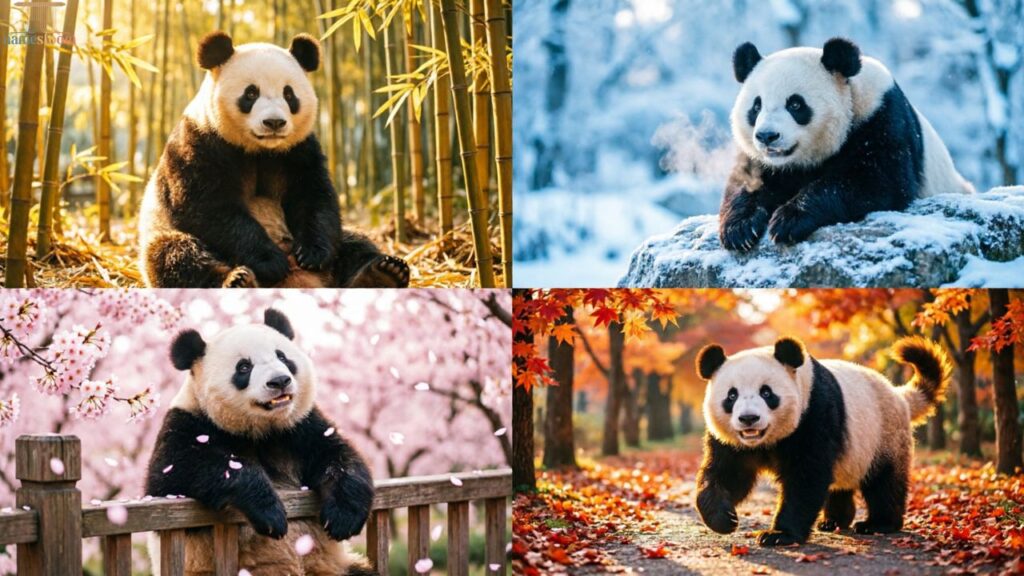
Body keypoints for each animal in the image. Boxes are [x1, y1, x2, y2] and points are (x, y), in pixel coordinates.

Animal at [139, 31, 410, 288]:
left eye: (289, 94)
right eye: (250, 93)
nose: (274, 122)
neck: (260, 149)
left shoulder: (297, 150)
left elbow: (313, 195)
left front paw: (313, 253)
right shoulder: (199, 143)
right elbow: (208, 206)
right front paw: (270, 260)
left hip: (341, 240)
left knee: (355, 243)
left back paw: (382, 274)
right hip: (162, 233)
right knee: (175, 256)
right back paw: (237, 281)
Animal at [145, 309, 376, 575]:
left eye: (282, 356)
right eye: (244, 367)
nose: (280, 381)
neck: (262, 430)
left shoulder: (300, 427)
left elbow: (337, 455)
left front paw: (344, 516)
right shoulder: (188, 423)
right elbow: (177, 471)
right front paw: (269, 513)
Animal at [694, 336, 951, 546]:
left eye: (766, 393)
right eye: (731, 395)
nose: (748, 418)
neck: (763, 442)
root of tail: (900, 396)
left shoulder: (814, 413)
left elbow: (806, 476)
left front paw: (778, 535)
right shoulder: (731, 442)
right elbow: (727, 474)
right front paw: (724, 518)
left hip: (885, 435)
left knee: (884, 482)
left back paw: (878, 524)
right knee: (841, 483)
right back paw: (834, 520)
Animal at [719, 37, 973, 251]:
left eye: (795, 104)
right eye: (756, 106)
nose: (767, 136)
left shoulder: (881, 118)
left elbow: (876, 181)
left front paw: (788, 220)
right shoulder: (760, 159)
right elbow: (747, 181)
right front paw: (739, 230)